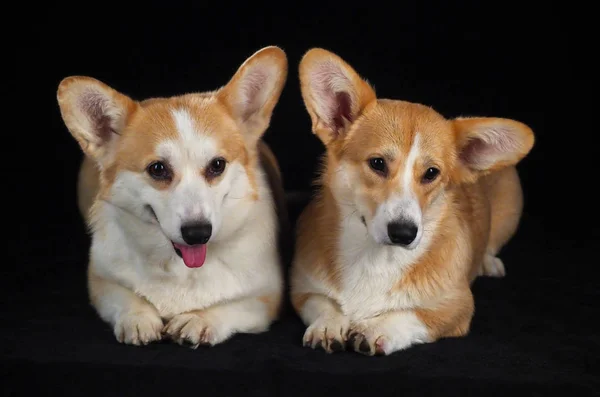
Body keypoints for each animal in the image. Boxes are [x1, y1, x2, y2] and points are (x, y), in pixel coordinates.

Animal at [55, 44, 288, 346]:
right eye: (158, 169)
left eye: (217, 165)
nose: (198, 233)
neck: (180, 267)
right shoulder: (102, 282)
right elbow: (126, 297)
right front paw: (138, 318)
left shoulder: (266, 298)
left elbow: (231, 306)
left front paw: (199, 319)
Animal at [290, 48, 536, 356]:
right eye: (377, 163)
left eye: (431, 173)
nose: (404, 233)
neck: (374, 257)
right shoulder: (303, 289)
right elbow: (323, 303)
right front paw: (330, 323)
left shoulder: (456, 307)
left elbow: (411, 315)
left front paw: (376, 329)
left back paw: (488, 263)